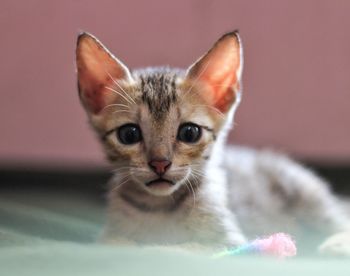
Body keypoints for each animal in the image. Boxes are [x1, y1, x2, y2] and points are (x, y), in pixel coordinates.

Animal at [75, 30, 350, 254]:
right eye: (129, 135)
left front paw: (157, 248)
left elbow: (183, 249)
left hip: (304, 193)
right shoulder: (109, 235)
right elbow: (114, 243)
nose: (160, 164)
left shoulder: (229, 241)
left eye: (189, 133)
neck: (159, 207)